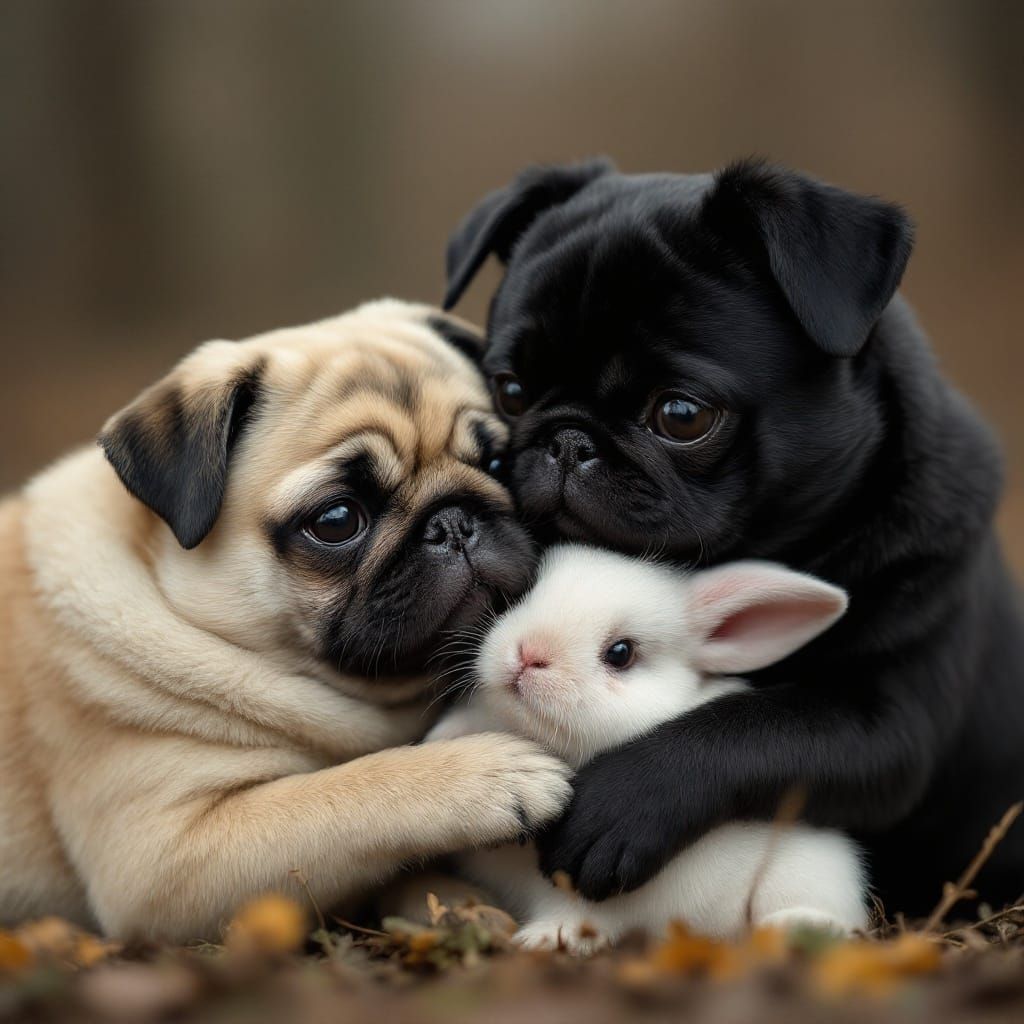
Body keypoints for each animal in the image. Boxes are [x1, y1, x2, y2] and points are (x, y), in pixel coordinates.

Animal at [426, 543, 869, 953]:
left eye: (621, 653)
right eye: (526, 593)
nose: (530, 654)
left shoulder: (589, 890)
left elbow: (577, 912)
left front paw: (545, 938)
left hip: (806, 873)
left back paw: (788, 928)